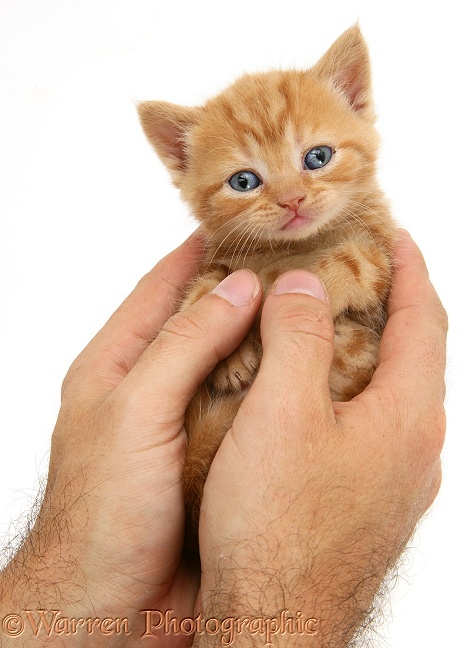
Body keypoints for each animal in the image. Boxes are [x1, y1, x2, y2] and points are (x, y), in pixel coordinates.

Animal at [139, 24, 398, 552]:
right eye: (244, 181)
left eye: (317, 157)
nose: (292, 199)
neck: (288, 250)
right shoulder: (221, 262)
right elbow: (206, 287)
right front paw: (230, 355)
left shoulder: (381, 263)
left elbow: (352, 261)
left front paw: (296, 289)